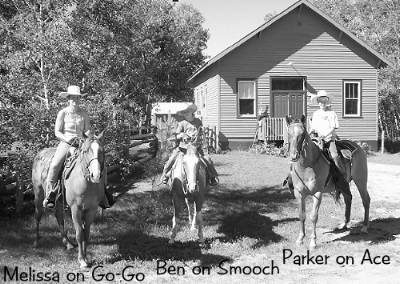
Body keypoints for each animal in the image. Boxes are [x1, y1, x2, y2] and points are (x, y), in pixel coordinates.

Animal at [32, 131, 106, 268]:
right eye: (86, 151)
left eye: (102, 151)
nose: (96, 175)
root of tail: (40, 153)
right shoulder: (75, 209)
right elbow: (79, 233)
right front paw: (82, 260)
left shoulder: (91, 210)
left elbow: (86, 234)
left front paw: (86, 258)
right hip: (38, 195)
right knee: (38, 216)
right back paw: (36, 241)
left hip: (59, 201)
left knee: (59, 217)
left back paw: (67, 243)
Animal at [286, 114, 370, 247]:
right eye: (288, 132)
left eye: (303, 133)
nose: (294, 156)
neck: (308, 165)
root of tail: (357, 146)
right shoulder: (299, 194)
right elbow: (301, 215)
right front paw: (300, 239)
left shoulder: (317, 193)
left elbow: (313, 216)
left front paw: (313, 241)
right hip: (344, 184)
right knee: (348, 198)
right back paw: (344, 224)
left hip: (360, 180)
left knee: (366, 200)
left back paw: (364, 227)